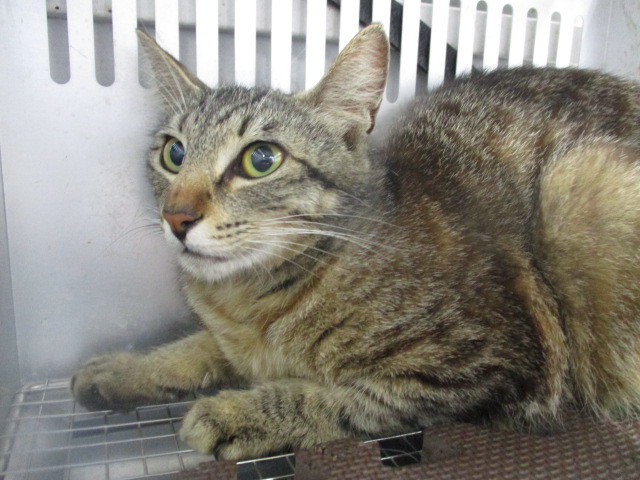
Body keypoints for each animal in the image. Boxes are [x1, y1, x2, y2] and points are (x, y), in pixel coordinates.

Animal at [71, 24, 640, 461]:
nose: (176, 216)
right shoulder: (230, 336)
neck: (251, 300)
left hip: (575, 182)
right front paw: (128, 367)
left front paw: (239, 412)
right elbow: (199, 346)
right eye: (174, 153)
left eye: (261, 159)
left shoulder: (485, 366)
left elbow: (345, 400)